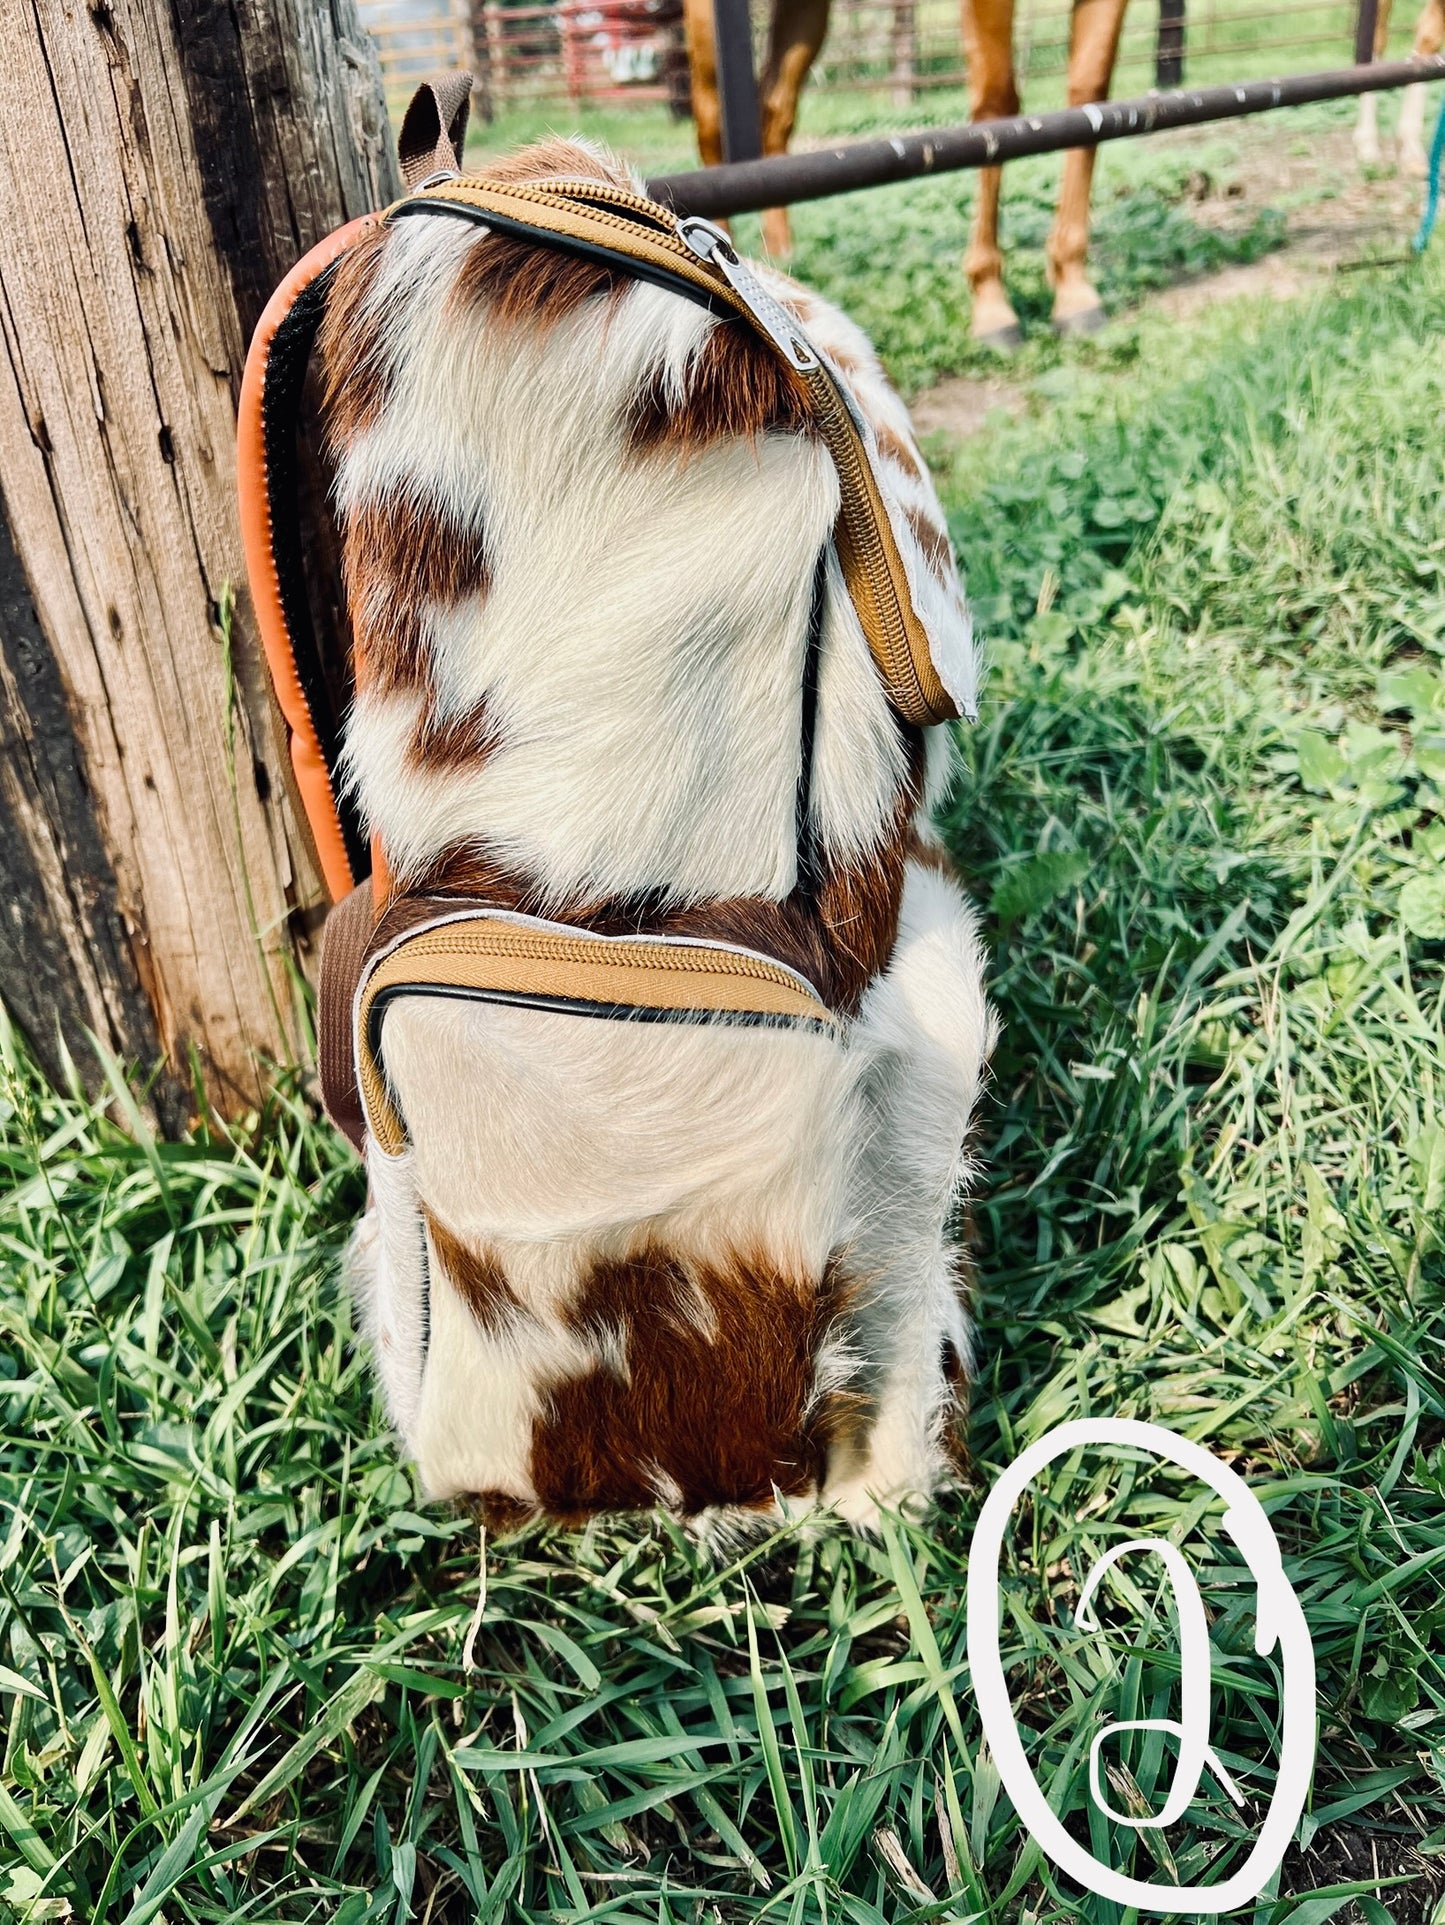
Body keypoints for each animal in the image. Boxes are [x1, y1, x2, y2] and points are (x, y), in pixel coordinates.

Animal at [684, 0, 1139, 342]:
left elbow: (1090, 94)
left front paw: (1074, 290)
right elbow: (997, 105)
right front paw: (993, 305)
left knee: (776, 110)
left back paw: (779, 251)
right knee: (711, 121)